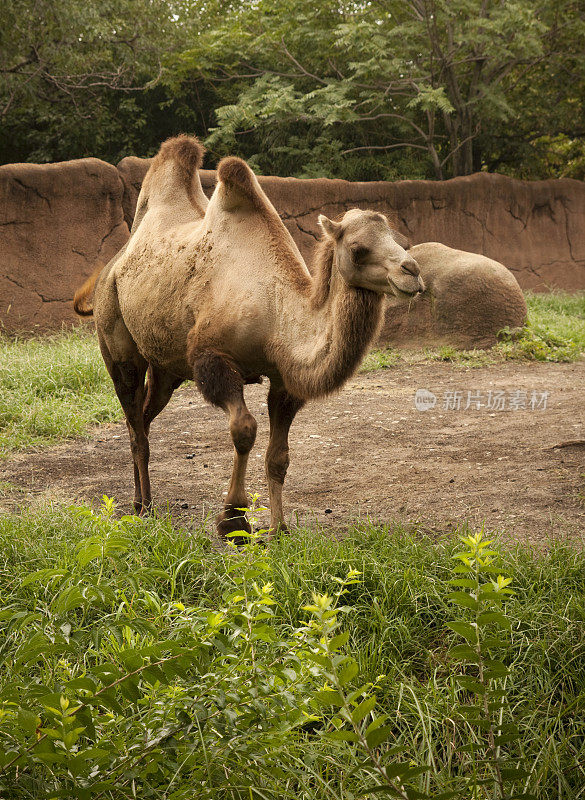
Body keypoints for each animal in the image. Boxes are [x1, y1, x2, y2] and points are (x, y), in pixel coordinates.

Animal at [74, 134, 424, 540]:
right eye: (358, 249)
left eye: (398, 240)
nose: (412, 271)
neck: (276, 314)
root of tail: (111, 267)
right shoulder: (212, 357)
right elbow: (244, 430)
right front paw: (232, 518)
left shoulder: (284, 378)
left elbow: (279, 457)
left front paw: (279, 529)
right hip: (116, 339)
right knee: (134, 422)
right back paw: (143, 508)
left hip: (167, 367)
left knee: (143, 418)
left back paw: (138, 500)